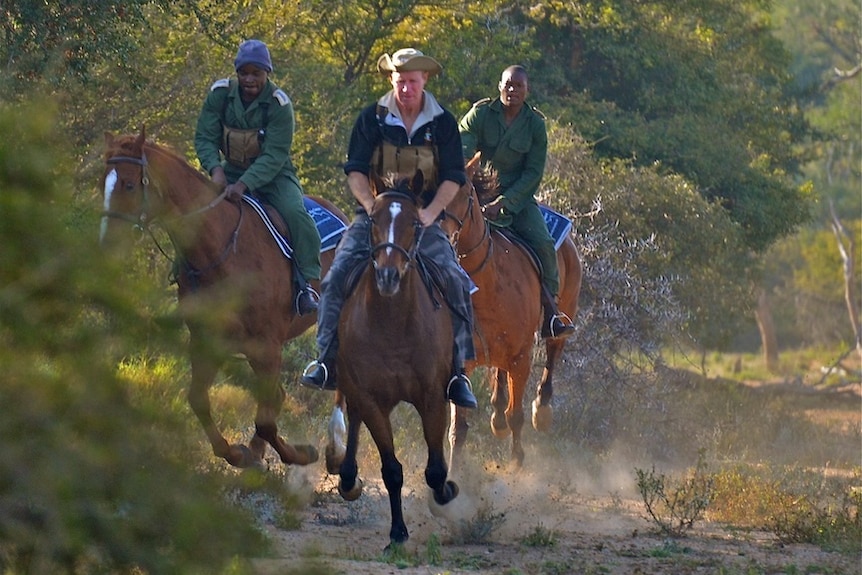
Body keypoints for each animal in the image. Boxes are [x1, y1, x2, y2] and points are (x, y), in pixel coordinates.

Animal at [104, 128, 352, 470]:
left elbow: (266, 418)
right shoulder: (208, 340)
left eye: (129, 184)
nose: (107, 240)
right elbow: (199, 400)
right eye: (102, 181)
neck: (222, 249)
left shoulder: (267, 345)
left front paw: (301, 454)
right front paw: (239, 453)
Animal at [326, 171, 462, 548]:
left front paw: (446, 492)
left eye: (415, 223)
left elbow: (435, 469)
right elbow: (391, 470)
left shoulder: (433, 397)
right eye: (373, 219)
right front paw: (398, 533)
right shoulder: (372, 399)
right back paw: (347, 477)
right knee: (352, 416)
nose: (388, 276)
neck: (393, 325)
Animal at [446, 155, 580, 470]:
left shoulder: (522, 358)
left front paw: (517, 461)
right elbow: (459, 429)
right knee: (499, 373)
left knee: (553, 352)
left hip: (562, 317)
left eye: (464, 193)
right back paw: (496, 416)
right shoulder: (461, 362)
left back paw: (541, 412)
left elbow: (516, 415)